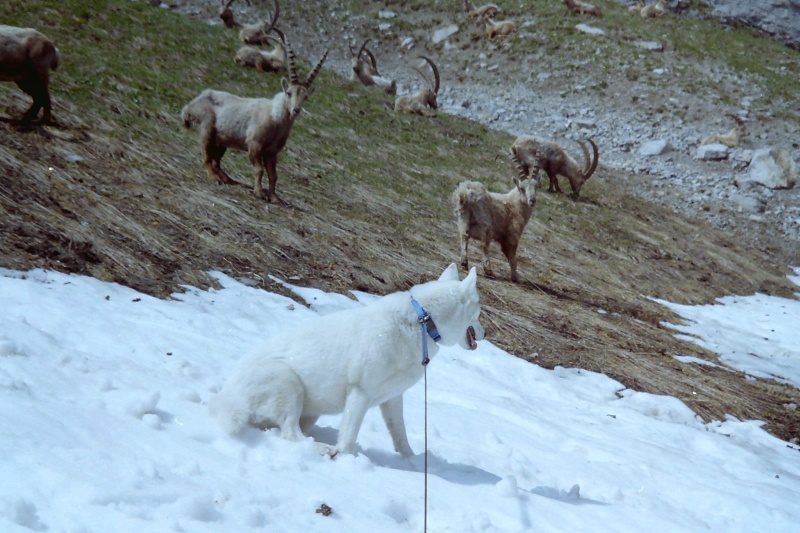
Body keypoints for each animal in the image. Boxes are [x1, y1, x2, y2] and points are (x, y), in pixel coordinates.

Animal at [208, 264, 482, 456]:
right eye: (479, 312)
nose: (485, 333)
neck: (422, 322)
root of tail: (226, 398)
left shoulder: (392, 399)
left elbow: (401, 437)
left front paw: (412, 464)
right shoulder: (359, 393)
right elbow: (348, 438)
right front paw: (345, 458)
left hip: (311, 409)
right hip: (288, 384)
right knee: (290, 434)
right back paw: (322, 450)